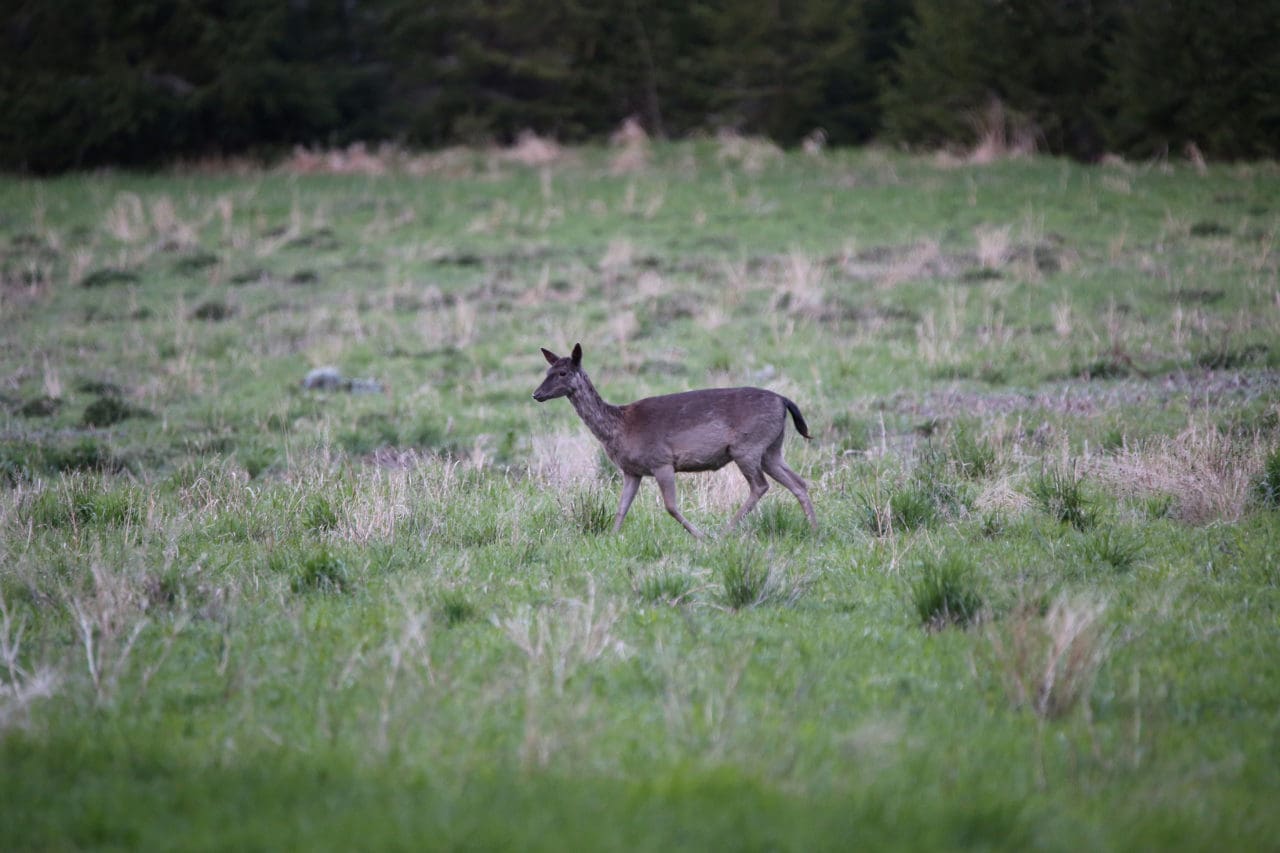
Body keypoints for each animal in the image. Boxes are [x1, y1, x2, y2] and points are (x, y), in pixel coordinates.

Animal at [532, 340, 819, 535]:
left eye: (562, 373)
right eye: (546, 372)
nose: (536, 394)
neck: (618, 428)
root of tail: (784, 401)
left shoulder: (661, 461)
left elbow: (670, 506)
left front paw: (700, 536)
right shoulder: (631, 471)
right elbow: (622, 507)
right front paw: (611, 537)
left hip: (747, 446)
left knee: (760, 485)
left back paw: (724, 532)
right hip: (771, 448)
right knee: (798, 482)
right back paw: (814, 528)